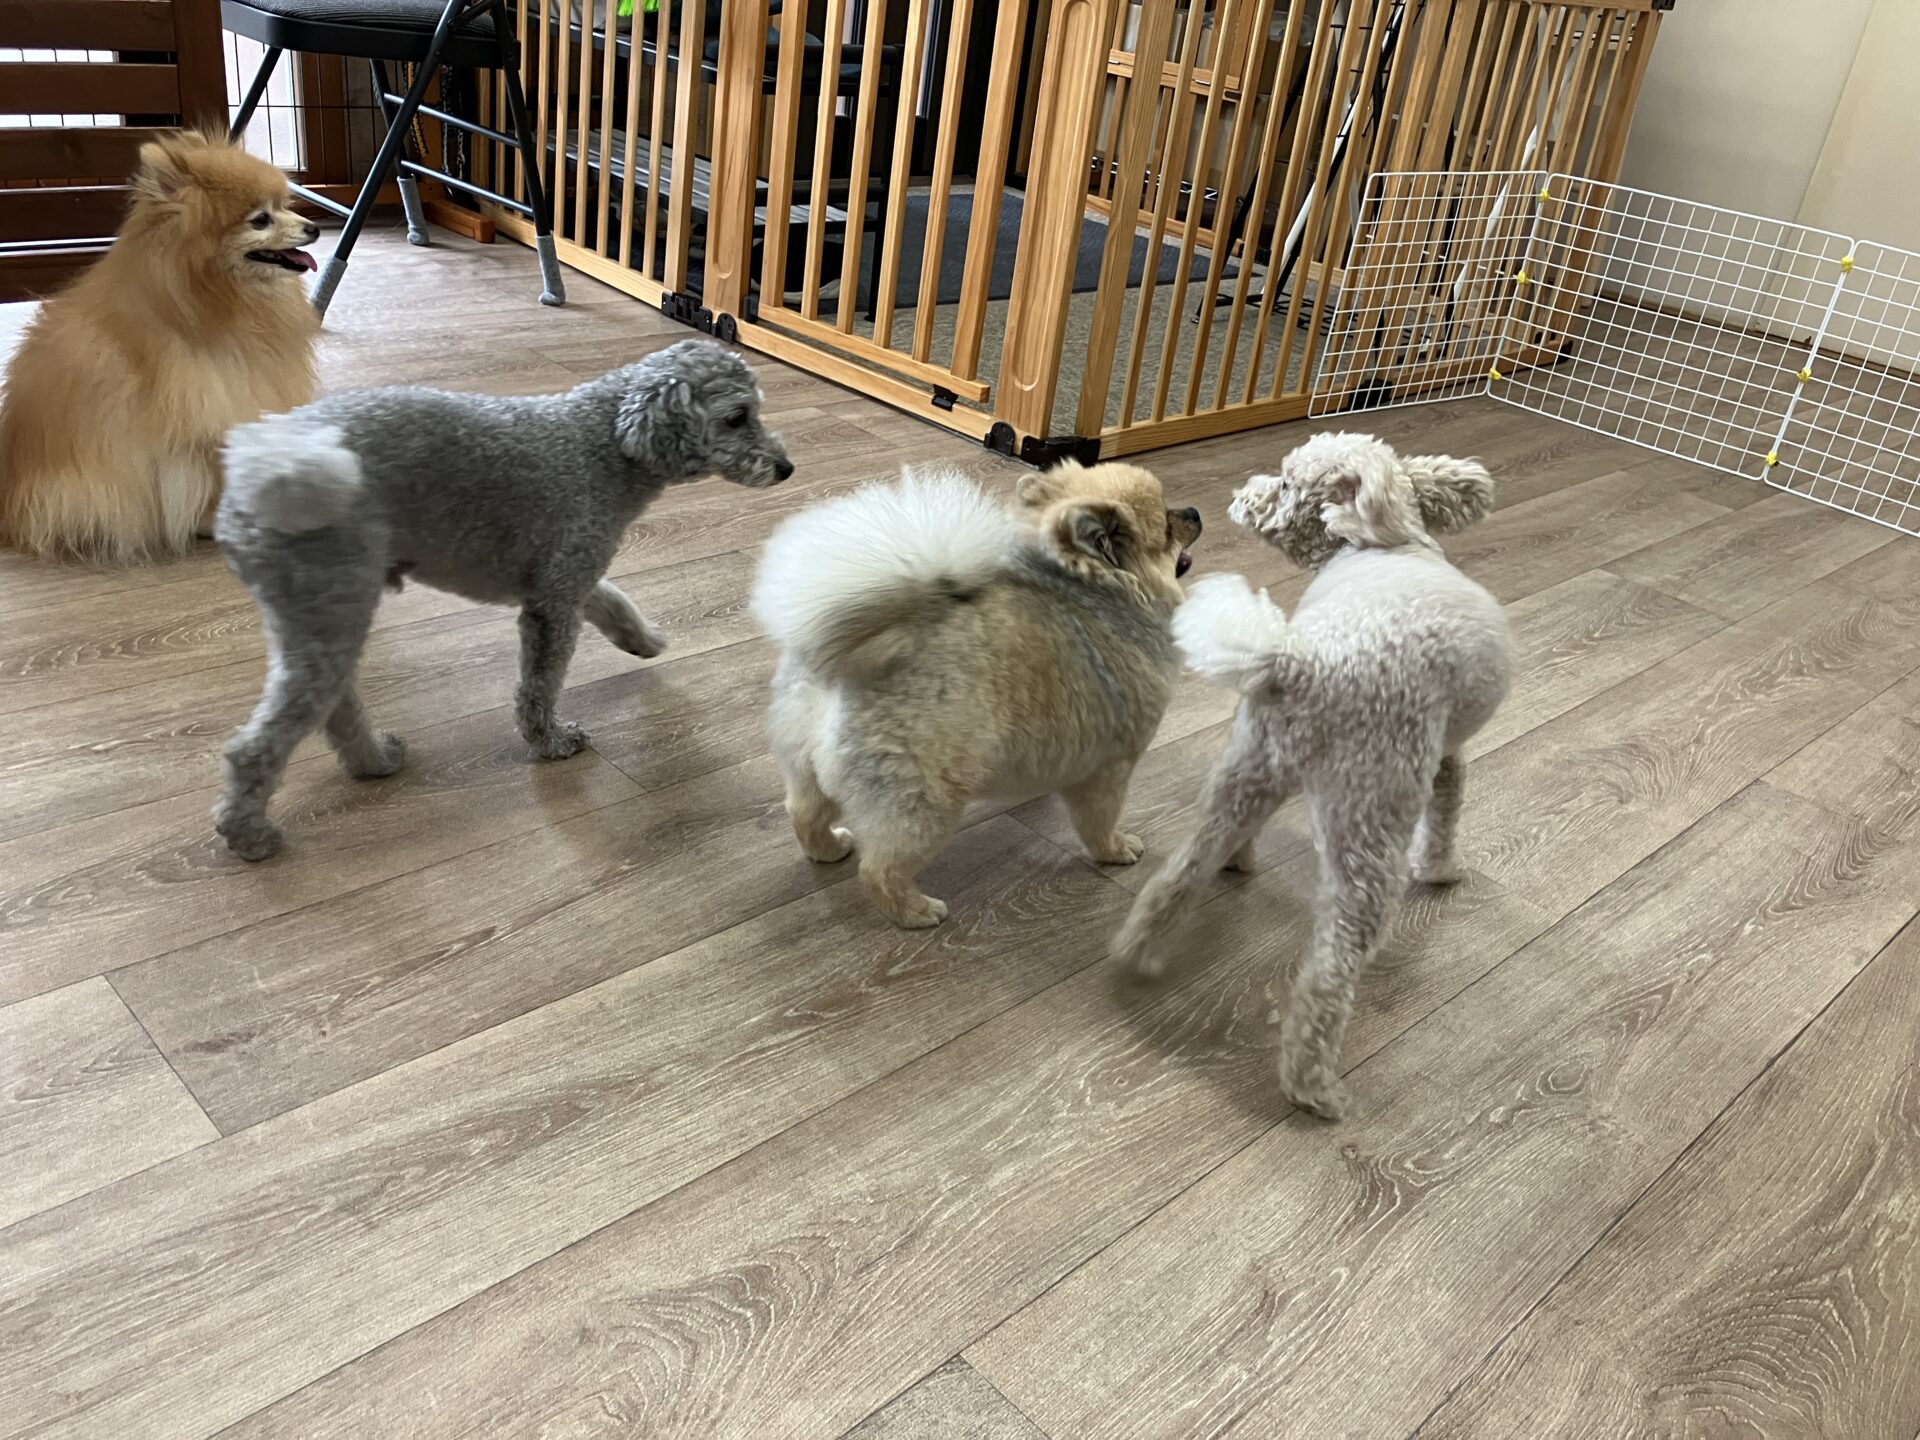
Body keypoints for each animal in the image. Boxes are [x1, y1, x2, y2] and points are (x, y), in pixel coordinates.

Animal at [212, 340, 793, 860]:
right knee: (255, 747)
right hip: (327, 602)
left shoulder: (568, 574)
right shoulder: (553, 603)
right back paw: (249, 836)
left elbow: (612, 598)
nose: (786, 468)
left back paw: (373, 760)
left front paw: (643, 639)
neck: (603, 444)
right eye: (737, 417)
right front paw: (550, 741)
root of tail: (255, 475)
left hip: (327, 613)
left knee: (334, 706)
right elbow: (539, 687)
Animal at [753, 461, 1202, 928]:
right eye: (1166, 527)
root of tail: (838, 677)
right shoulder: (1110, 767)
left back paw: (828, 849)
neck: (1097, 593)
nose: (1194, 512)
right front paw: (1115, 849)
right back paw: (916, 911)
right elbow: (1098, 822)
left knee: (803, 812)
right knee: (880, 870)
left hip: (805, 763)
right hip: (926, 805)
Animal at [1112, 432, 1513, 1119]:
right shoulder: (1444, 756)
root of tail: (1302, 665)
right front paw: (1441, 871)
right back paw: (1312, 1084)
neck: (1380, 543)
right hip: (1370, 818)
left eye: (1286, 484)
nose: (1240, 496)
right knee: (1332, 968)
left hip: (1245, 769)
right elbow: (1447, 813)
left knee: (1178, 876)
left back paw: (1137, 950)